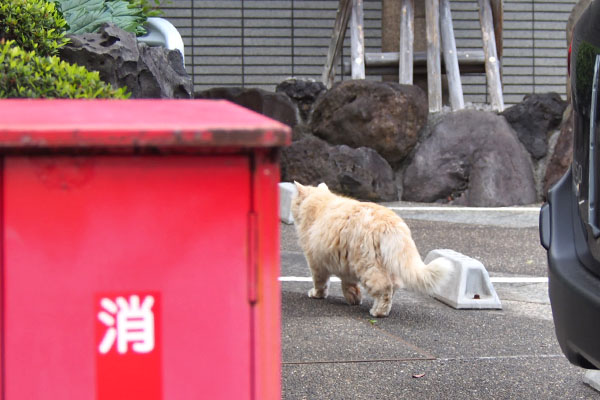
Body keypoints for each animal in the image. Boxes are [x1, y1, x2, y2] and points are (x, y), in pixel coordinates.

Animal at [290, 183, 450, 318]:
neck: (319, 203)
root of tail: (390, 222)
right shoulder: (344, 264)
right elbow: (349, 285)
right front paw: (353, 299)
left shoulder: (315, 262)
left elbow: (320, 283)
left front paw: (316, 294)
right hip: (386, 264)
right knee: (393, 287)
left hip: (367, 265)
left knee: (384, 289)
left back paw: (378, 312)